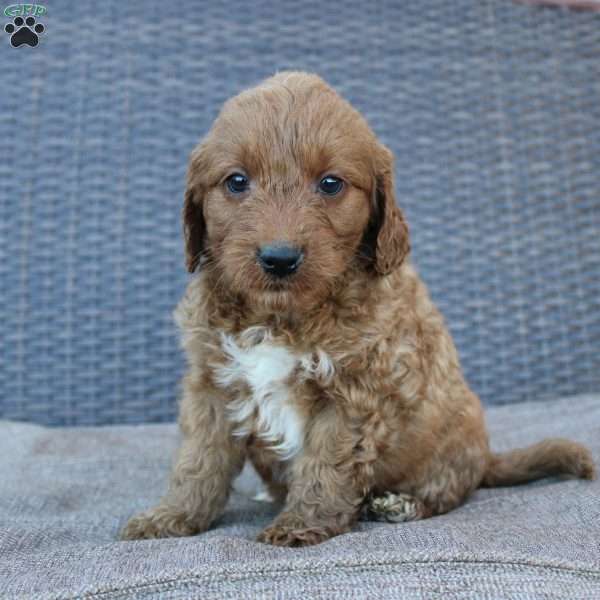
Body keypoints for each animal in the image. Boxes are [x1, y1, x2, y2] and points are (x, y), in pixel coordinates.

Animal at [122, 71, 596, 548]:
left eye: (331, 184)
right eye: (237, 182)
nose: (279, 258)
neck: (278, 317)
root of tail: (486, 458)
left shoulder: (355, 392)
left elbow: (325, 465)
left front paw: (300, 524)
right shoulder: (212, 383)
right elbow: (199, 459)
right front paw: (172, 516)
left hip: (455, 438)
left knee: (449, 489)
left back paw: (401, 504)